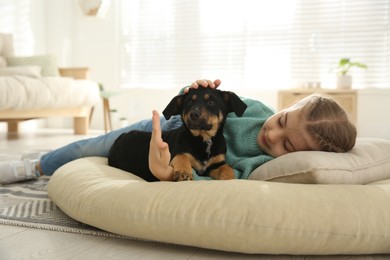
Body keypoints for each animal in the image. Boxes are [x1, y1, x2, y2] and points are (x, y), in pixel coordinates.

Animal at [106, 87, 247, 181]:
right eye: (189, 102)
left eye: (212, 102)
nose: (193, 114)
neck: (203, 139)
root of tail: (120, 137)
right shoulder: (178, 151)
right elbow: (181, 156)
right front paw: (184, 171)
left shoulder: (214, 165)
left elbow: (227, 167)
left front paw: (229, 179)